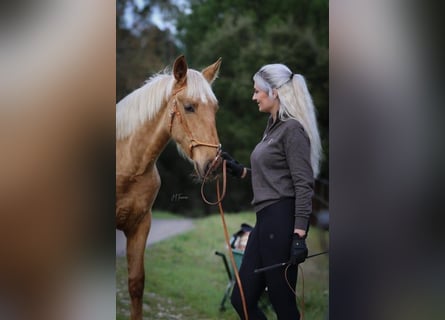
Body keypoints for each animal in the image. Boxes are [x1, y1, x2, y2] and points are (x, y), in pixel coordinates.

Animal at [116, 56, 222, 318]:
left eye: (215, 108)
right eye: (189, 107)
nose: (214, 164)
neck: (128, 165)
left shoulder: (140, 225)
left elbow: (136, 284)